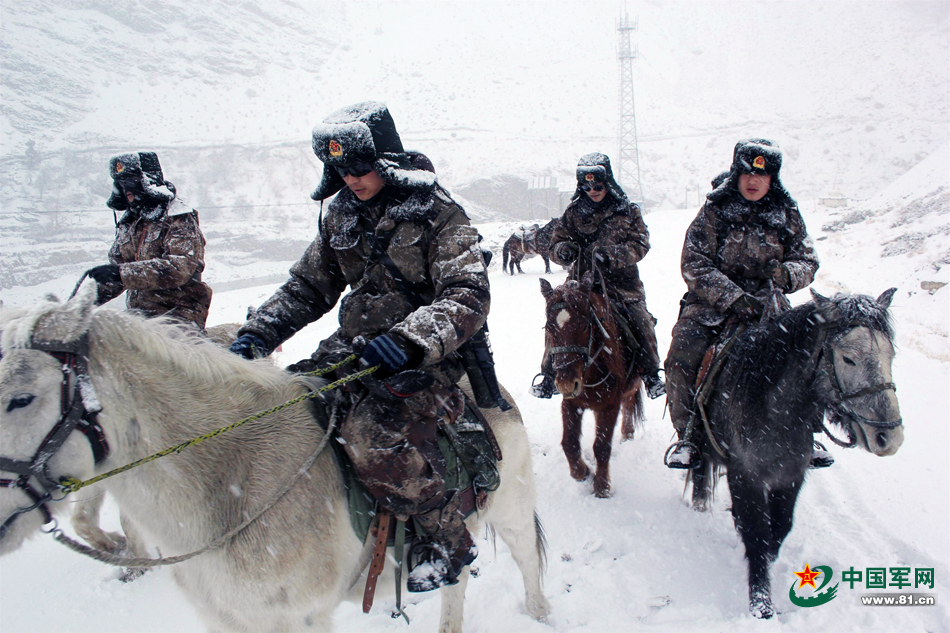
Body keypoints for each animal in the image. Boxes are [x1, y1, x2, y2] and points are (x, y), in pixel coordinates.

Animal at [544, 276, 648, 498]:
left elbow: (601, 446)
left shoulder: (609, 406)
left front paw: (601, 487)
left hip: (634, 382)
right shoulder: (571, 403)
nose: (566, 383)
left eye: (585, 327)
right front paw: (582, 472)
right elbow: (569, 443)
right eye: (549, 328)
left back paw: (627, 433)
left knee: (629, 400)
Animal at [688, 288, 904, 620]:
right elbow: (757, 532)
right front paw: (761, 605)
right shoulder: (745, 475)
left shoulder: (791, 475)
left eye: (889, 355)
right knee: (699, 470)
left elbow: (779, 527)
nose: (889, 437)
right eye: (848, 358)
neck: (775, 408)